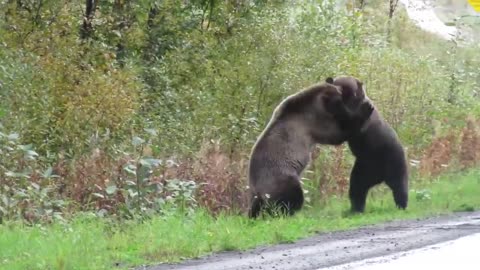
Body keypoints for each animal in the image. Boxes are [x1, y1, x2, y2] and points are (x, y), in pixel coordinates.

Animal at [248, 81, 376, 218]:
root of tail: (257, 190)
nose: (342, 90)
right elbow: (338, 133)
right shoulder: (313, 122)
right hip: (280, 177)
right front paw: (366, 108)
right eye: (340, 91)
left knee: (256, 207)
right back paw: (289, 211)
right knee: (292, 195)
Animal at [330, 76, 408, 213]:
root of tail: (381, 176)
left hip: (393, 159)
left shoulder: (362, 120)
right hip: (364, 168)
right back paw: (355, 209)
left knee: (399, 184)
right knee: (357, 186)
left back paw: (401, 205)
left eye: (343, 85)